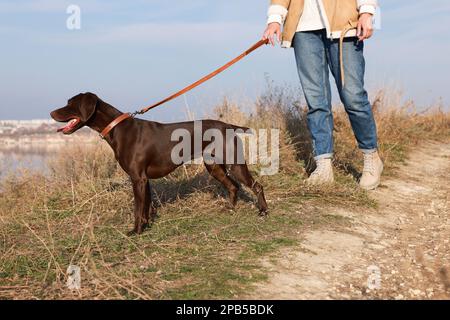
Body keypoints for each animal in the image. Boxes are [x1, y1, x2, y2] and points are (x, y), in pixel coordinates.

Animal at [50, 92, 268, 235]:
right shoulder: (144, 180)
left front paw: (136, 231)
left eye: (70, 103)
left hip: (234, 163)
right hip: (214, 167)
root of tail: (229, 126)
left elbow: (138, 209)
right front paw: (145, 227)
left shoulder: (138, 178)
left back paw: (263, 211)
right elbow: (146, 207)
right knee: (233, 186)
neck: (118, 129)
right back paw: (230, 209)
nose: (51, 113)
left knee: (257, 185)